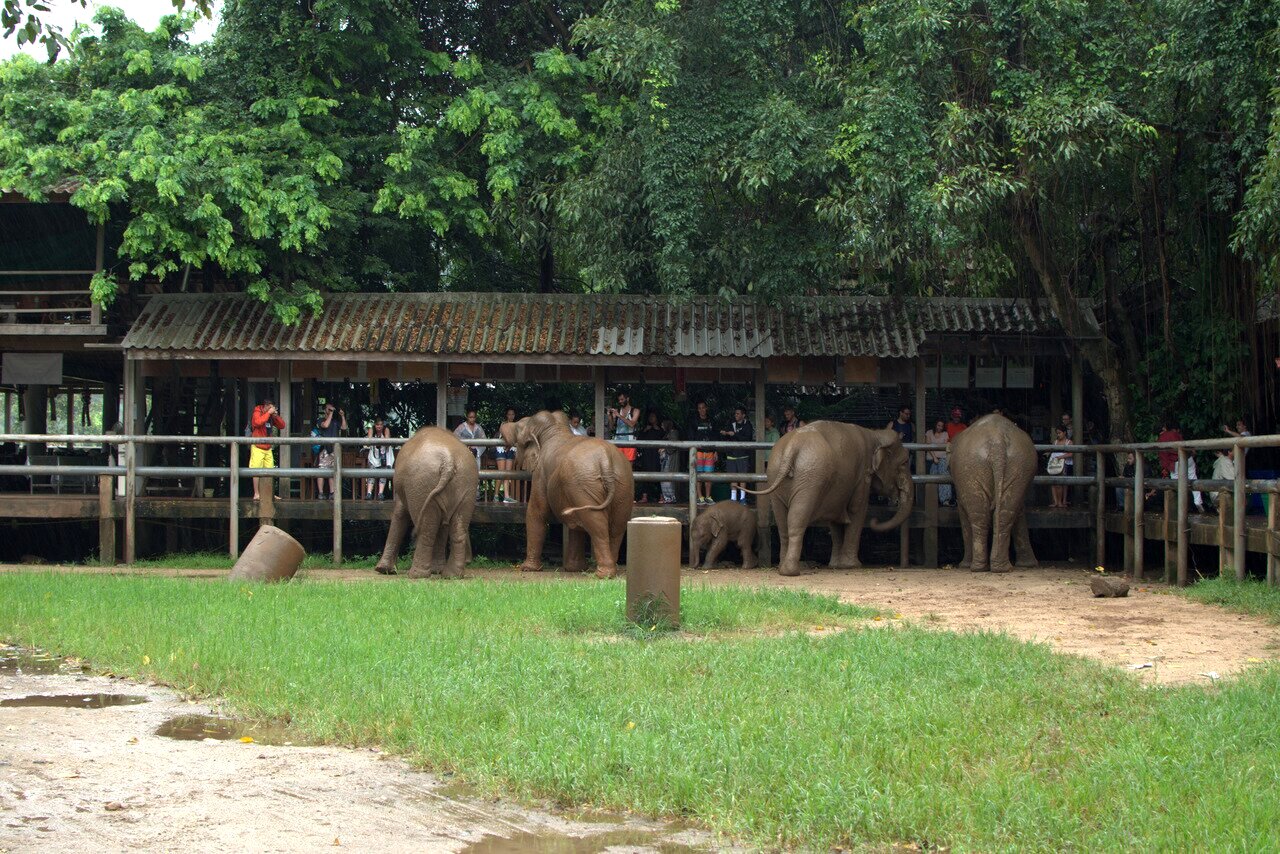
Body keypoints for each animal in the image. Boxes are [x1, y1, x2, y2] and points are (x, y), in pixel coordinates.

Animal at [374, 427, 478, 579]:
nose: (469, 560)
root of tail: (448, 461)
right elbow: (443, 525)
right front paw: (436, 570)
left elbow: (400, 514)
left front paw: (383, 570)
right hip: (466, 484)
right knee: (457, 528)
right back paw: (451, 576)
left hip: (421, 484)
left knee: (426, 528)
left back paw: (416, 575)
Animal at [500, 410, 634, 578]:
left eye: (518, 427)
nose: (503, 425)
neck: (555, 429)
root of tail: (605, 460)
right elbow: (575, 526)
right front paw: (576, 568)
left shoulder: (540, 473)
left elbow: (537, 511)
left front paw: (527, 568)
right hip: (623, 485)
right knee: (617, 526)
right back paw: (610, 570)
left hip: (583, 483)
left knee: (595, 523)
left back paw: (603, 574)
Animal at [748, 421, 913, 576]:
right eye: (905, 462)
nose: (875, 521)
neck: (875, 434)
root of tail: (791, 446)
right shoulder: (862, 475)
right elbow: (857, 510)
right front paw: (852, 565)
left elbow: (834, 520)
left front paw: (836, 565)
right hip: (810, 479)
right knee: (797, 518)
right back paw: (791, 571)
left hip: (775, 473)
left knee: (782, 522)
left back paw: (782, 568)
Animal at [948, 413, 1039, 573]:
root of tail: (997, 441)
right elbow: (1019, 511)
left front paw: (963, 566)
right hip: (1018, 467)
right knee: (1004, 513)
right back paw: (1000, 568)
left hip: (972, 468)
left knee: (980, 516)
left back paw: (979, 567)